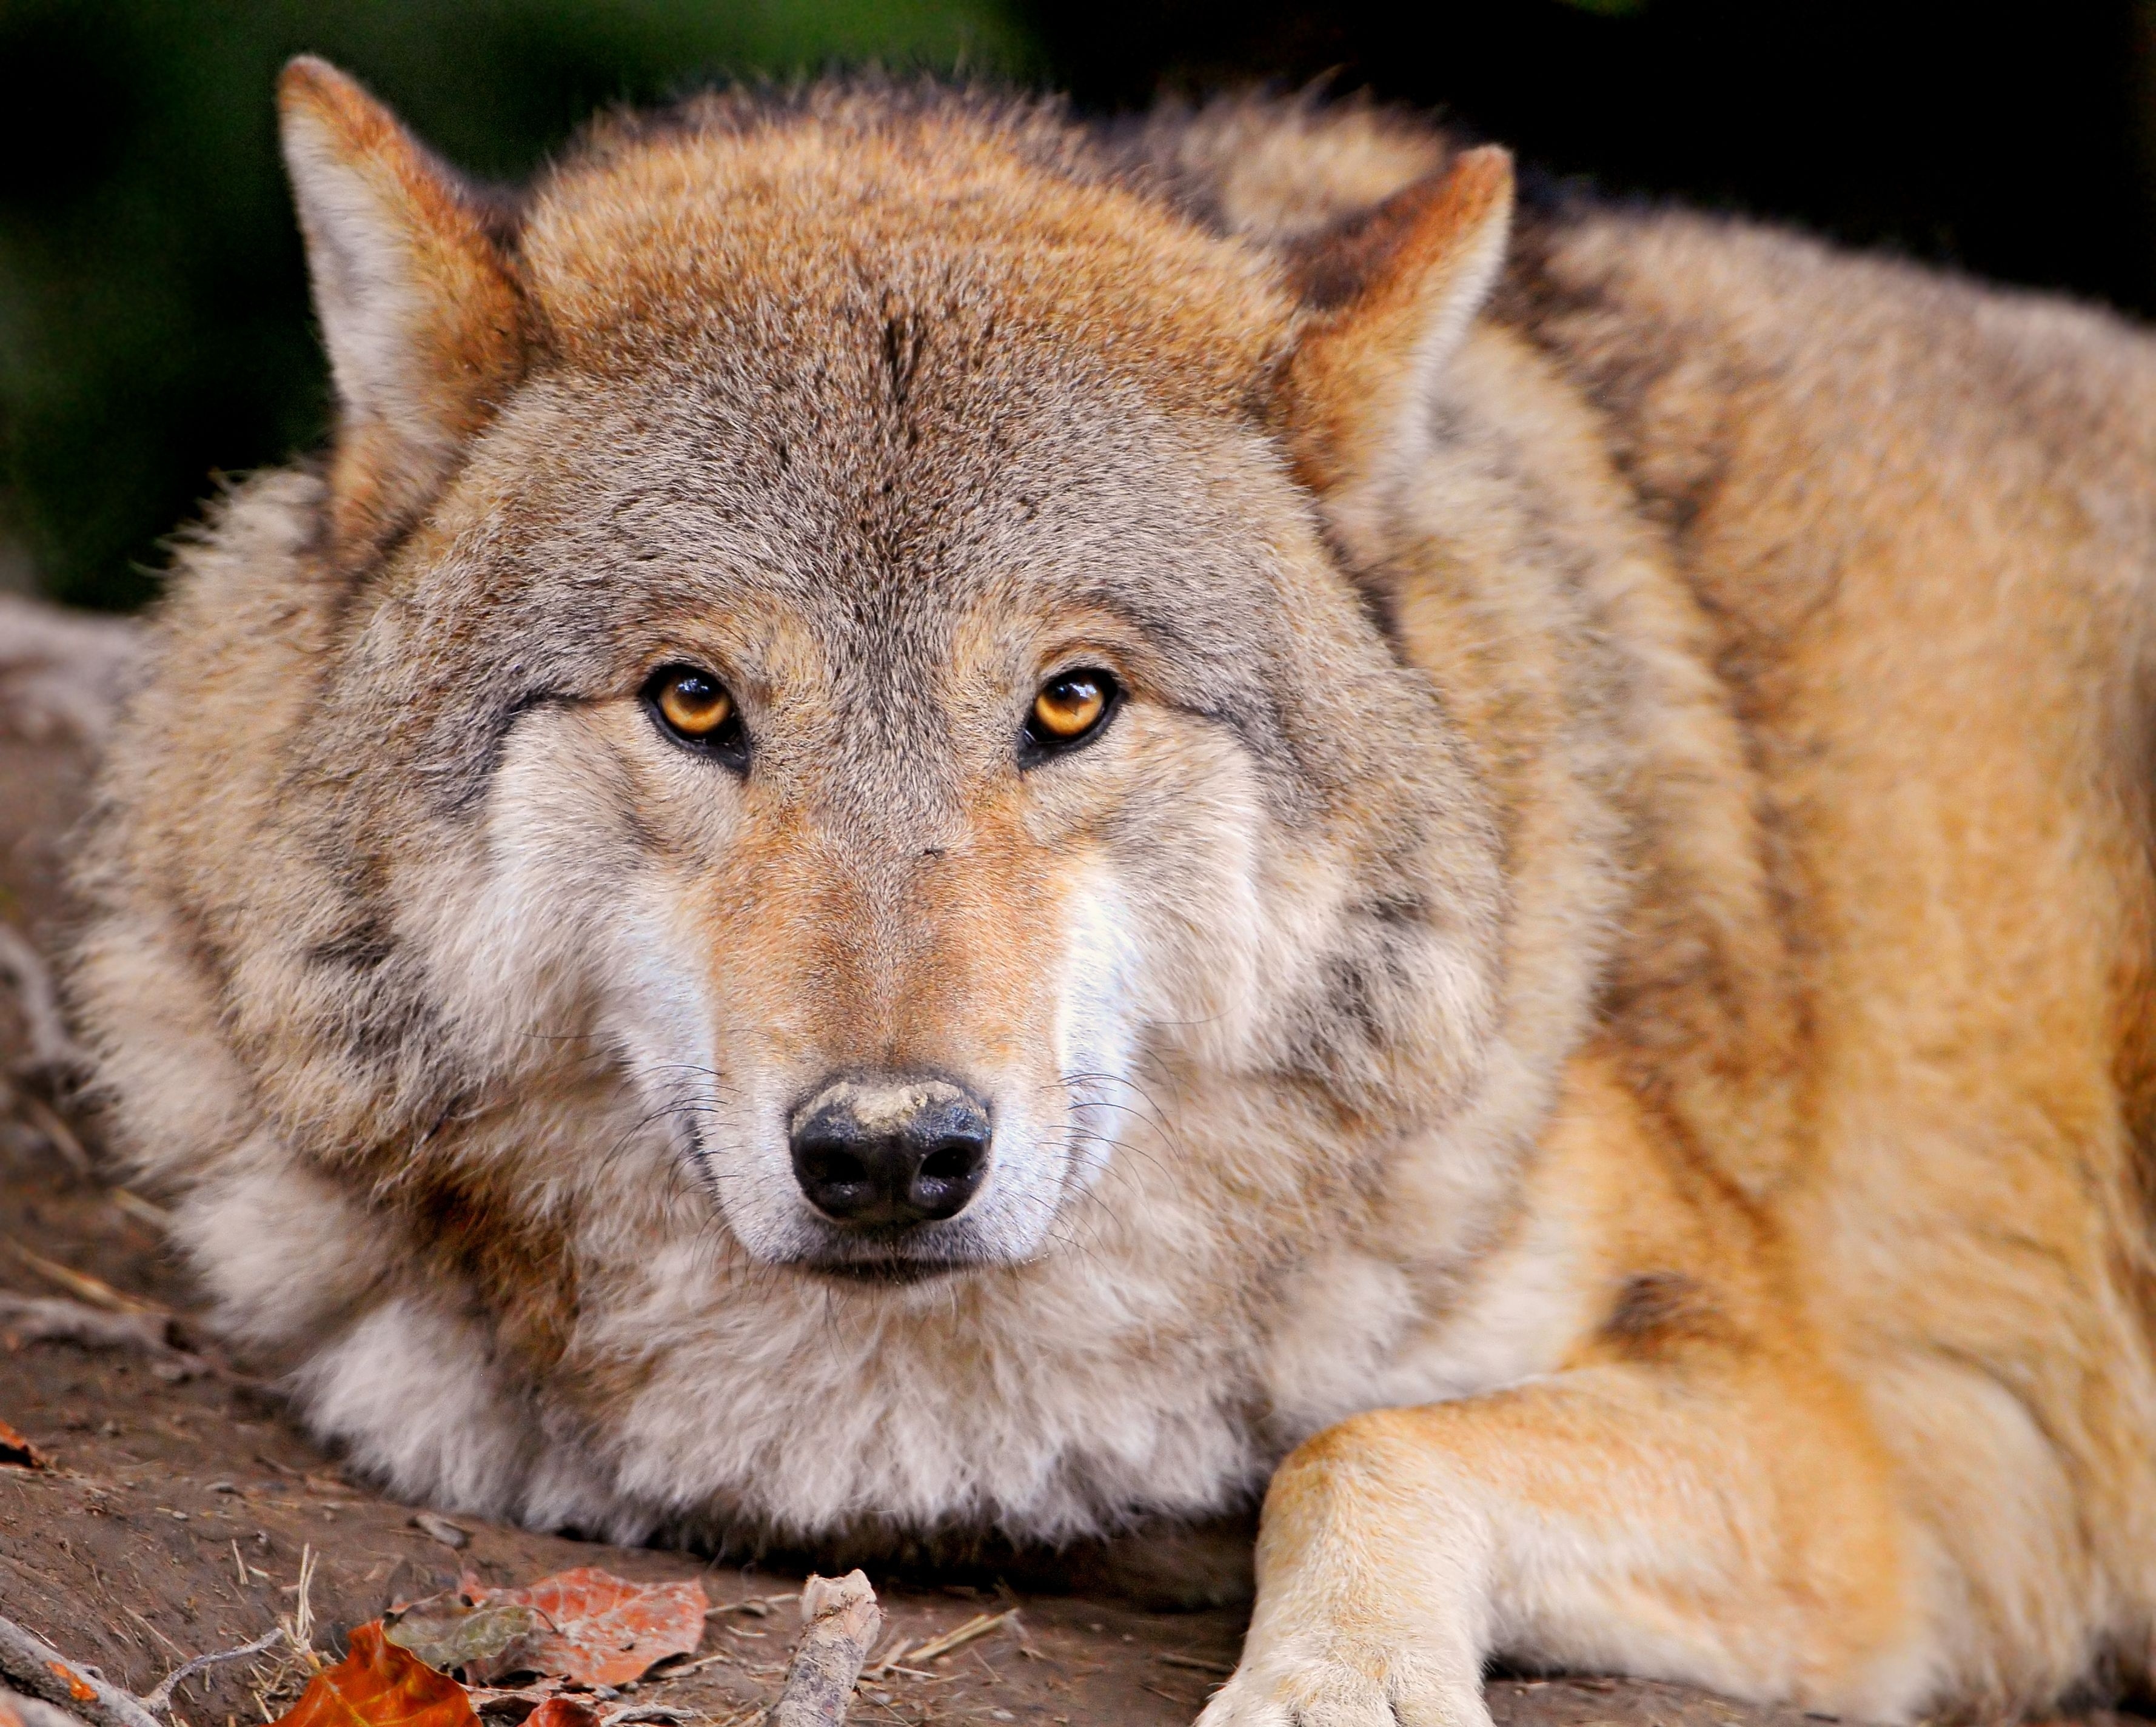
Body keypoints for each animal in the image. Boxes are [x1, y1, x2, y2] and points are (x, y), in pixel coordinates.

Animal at [63, 53, 2156, 1725]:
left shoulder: (1829, 1469)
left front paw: (1332, 1685)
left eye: (1070, 701)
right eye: (694, 700)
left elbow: (1361, 1449)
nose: (890, 1153)